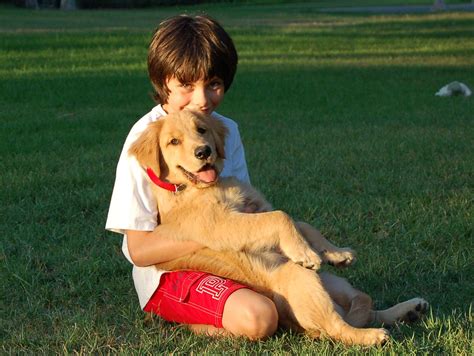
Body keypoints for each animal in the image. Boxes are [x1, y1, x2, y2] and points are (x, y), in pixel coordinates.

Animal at [130, 110, 430, 344]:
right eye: (173, 141)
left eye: (201, 130)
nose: (204, 151)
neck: (197, 188)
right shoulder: (220, 223)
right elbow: (280, 217)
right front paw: (307, 253)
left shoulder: (257, 205)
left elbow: (302, 224)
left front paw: (336, 253)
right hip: (300, 278)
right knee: (338, 326)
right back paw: (372, 336)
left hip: (335, 282)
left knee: (364, 307)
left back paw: (409, 309)